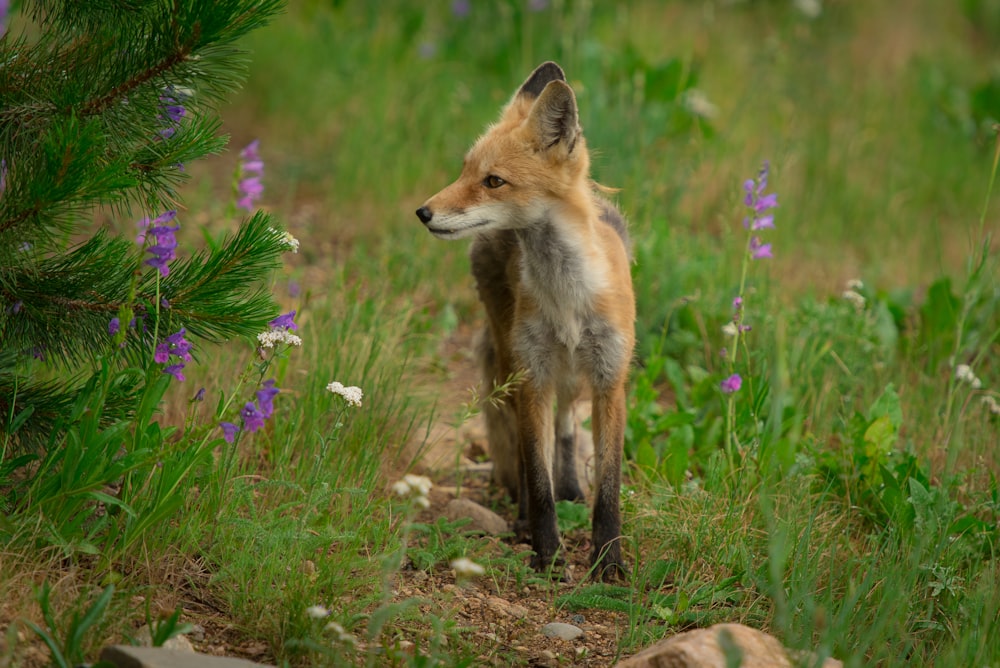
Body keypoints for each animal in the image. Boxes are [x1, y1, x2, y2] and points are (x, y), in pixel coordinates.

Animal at [416, 61, 636, 580]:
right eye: (465, 170)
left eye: (493, 181)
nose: (423, 212)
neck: (567, 297)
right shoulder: (532, 375)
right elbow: (537, 479)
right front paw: (547, 553)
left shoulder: (609, 378)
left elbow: (609, 487)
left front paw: (608, 561)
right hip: (510, 359)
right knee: (522, 444)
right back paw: (521, 518)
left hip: (568, 371)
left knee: (566, 422)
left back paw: (572, 485)